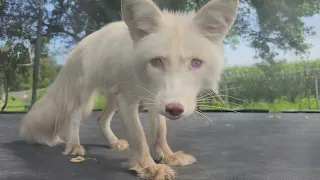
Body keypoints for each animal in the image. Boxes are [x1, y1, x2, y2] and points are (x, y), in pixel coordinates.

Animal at [19, 0, 238, 179]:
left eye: (195, 63)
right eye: (156, 62)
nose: (175, 109)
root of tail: (83, 42)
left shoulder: (153, 99)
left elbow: (161, 132)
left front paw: (167, 156)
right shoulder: (129, 100)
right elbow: (140, 138)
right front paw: (150, 168)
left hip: (113, 98)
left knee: (101, 119)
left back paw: (113, 143)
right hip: (87, 94)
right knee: (74, 118)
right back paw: (74, 145)